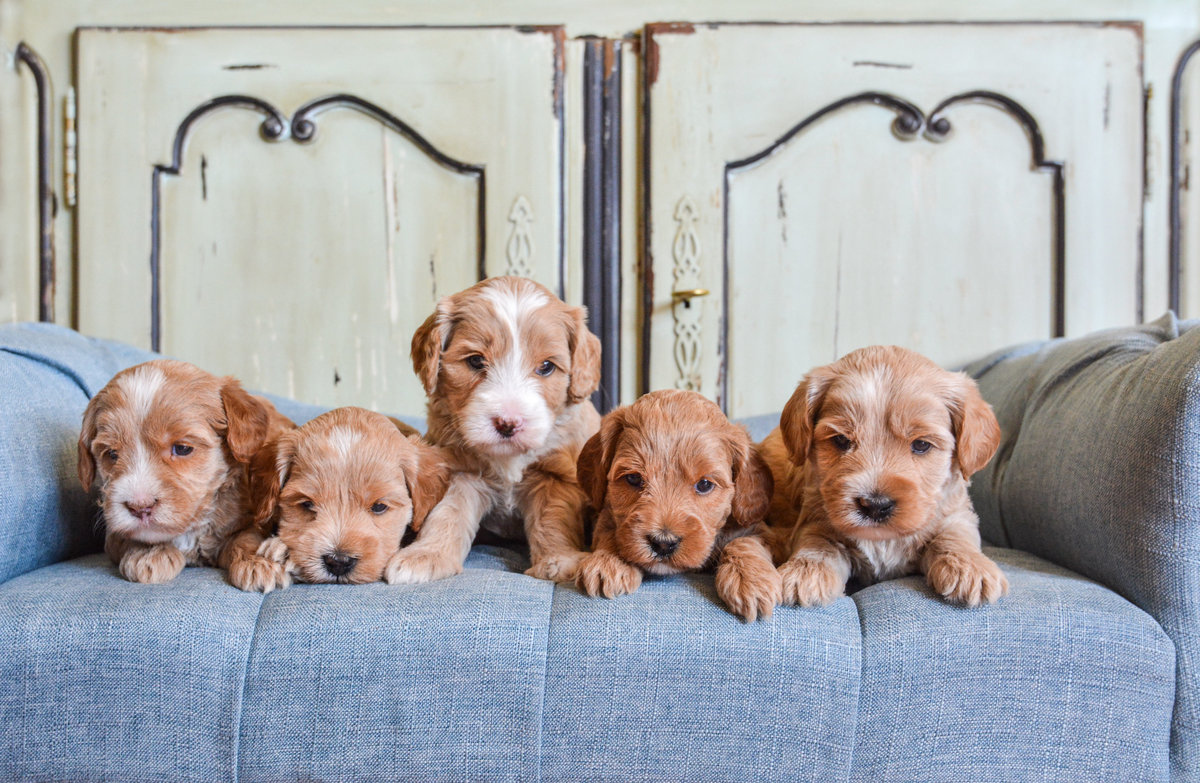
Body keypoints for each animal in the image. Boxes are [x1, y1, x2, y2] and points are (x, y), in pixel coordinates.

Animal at [78, 360, 292, 581]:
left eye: (182, 448)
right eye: (112, 454)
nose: (140, 507)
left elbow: (245, 537)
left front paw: (260, 561)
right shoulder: (113, 533)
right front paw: (149, 552)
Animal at [384, 278, 600, 583]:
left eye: (546, 367)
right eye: (476, 361)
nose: (507, 423)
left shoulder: (554, 474)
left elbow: (554, 517)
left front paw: (560, 561)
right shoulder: (458, 470)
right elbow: (446, 514)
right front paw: (425, 556)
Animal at [573, 391, 777, 624]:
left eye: (704, 484)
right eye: (633, 478)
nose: (663, 543)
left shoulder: (757, 526)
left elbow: (744, 541)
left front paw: (750, 580)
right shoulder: (607, 511)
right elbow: (610, 530)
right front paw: (608, 563)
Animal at [763, 345, 1008, 607]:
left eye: (921, 444)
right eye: (841, 440)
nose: (875, 506)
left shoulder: (957, 511)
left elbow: (955, 533)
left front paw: (970, 568)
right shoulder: (816, 515)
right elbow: (818, 542)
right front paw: (805, 571)